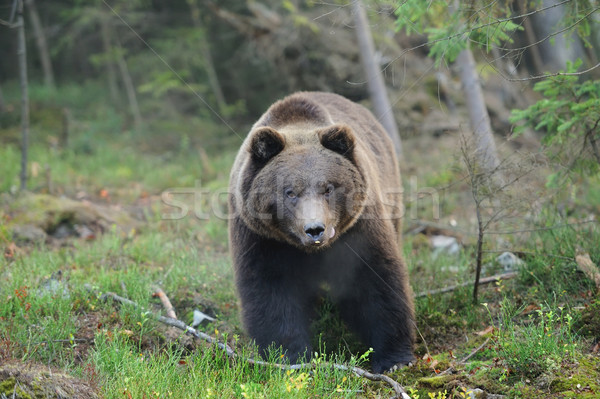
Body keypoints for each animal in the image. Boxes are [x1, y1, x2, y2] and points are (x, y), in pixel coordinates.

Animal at [227, 92, 414, 374]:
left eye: (328, 188)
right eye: (289, 192)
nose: (315, 229)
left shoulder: (359, 228)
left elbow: (375, 280)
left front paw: (394, 358)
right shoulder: (261, 239)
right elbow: (270, 290)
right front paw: (289, 356)